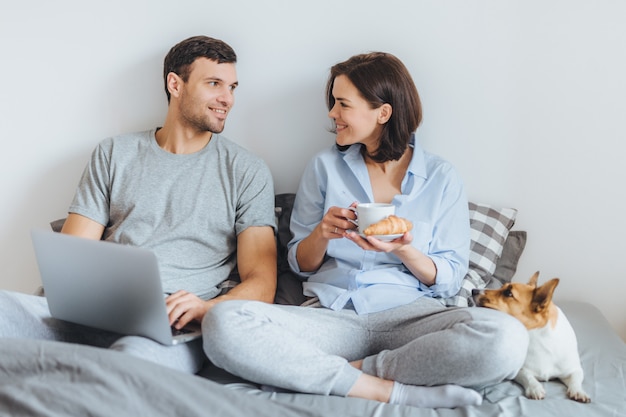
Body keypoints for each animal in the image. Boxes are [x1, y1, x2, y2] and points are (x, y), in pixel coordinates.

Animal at [472, 272, 588, 402]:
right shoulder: (518, 370)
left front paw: (578, 391)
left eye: (508, 293)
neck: (537, 335)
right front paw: (535, 388)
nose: (473, 290)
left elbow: (576, 379)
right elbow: (527, 376)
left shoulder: (574, 369)